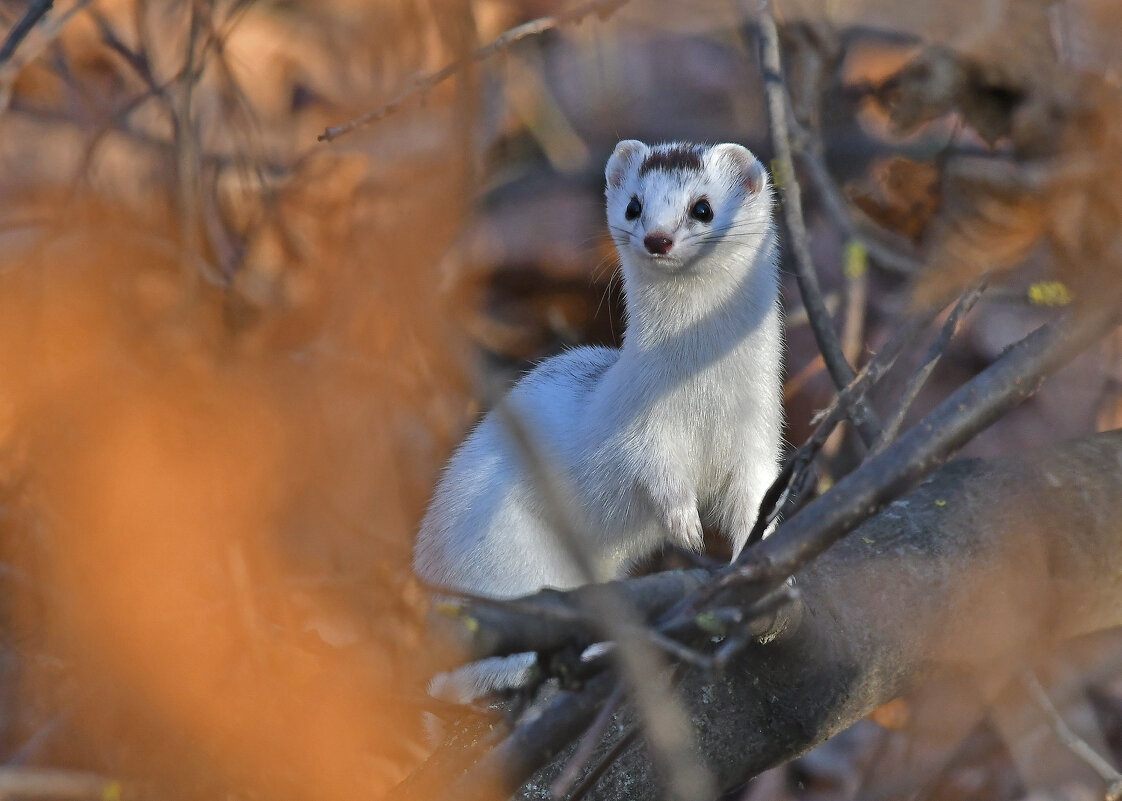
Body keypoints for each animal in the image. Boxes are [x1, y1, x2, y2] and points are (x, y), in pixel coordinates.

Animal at [417, 140, 785, 695]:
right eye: (634, 205)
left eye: (703, 207)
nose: (657, 238)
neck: (704, 400)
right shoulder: (638, 428)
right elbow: (650, 470)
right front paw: (686, 527)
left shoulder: (757, 439)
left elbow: (756, 502)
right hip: (504, 553)